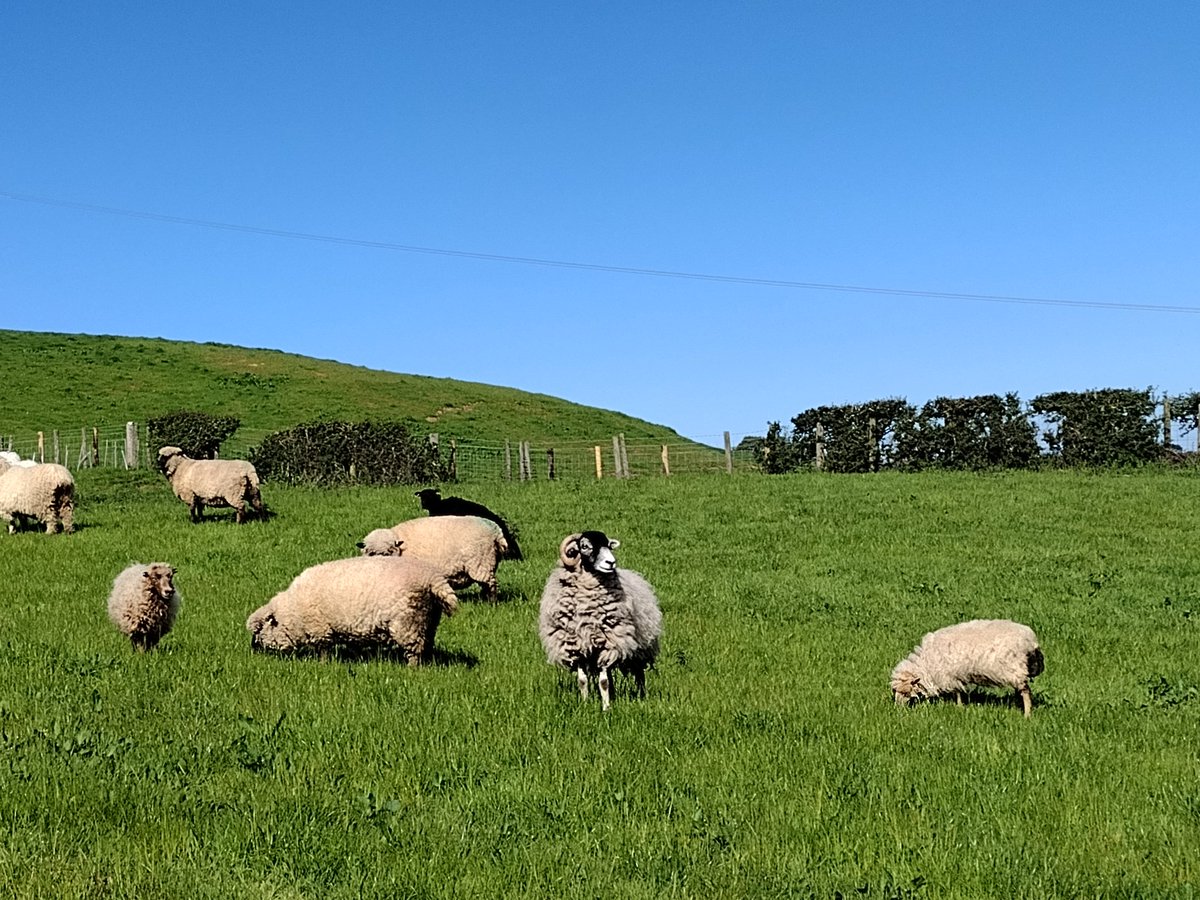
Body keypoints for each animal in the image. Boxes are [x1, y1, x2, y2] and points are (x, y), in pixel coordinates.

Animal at [247, 556, 458, 662]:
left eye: (259, 630)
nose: (253, 649)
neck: (293, 610)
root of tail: (431, 577)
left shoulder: (320, 629)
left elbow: (323, 651)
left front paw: (323, 664)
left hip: (408, 621)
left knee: (414, 649)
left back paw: (412, 668)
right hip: (429, 618)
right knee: (427, 643)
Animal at [355, 518, 506, 602]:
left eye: (389, 552)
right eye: (371, 553)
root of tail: (496, 530)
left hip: (481, 563)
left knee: (491, 584)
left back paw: (491, 602)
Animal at [542, 528, 667, 710]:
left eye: (608, 545)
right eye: (585, 546)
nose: (611, 563)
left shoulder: (607, 645)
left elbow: (603, 682)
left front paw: (606, 708)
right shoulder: (577, 647)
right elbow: (583, 680)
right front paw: (585, 705)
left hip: (640, 650)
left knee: (639, 675)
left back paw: (641, 696)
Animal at [888, 619, 1046, 720]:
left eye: (905, 691)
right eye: (895, 692)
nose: (898, 708)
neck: (926, 663)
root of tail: (1031, 641)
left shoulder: (950, 675)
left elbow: (957, 692)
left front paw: (958, 707)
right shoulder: (955, 676)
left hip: (1016, 669)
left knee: (1025, 692)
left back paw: (1027, 714)